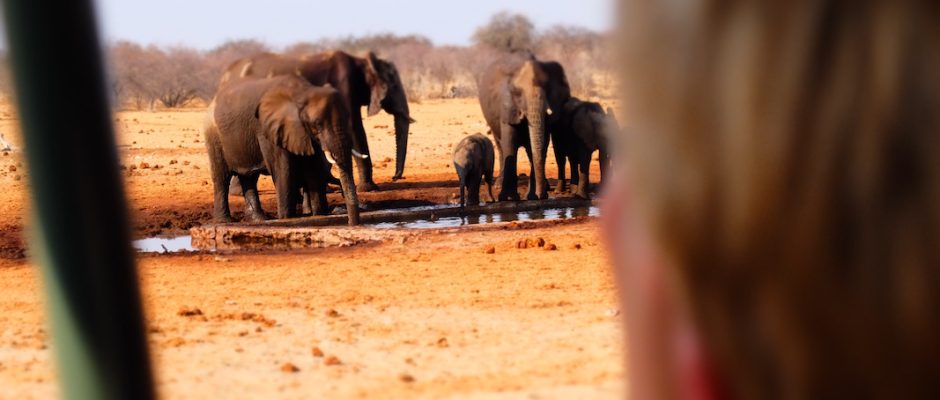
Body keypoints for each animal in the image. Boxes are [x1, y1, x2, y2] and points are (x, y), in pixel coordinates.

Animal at [203, 75, 361, 225]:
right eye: (317, 124)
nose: (351, 223)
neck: (303, 92)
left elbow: (313, 167)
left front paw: (319, 214)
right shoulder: (268, 129)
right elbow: (283, 168)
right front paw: (287, 218)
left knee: (249, 178)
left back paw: (258, 220)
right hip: (213, 136)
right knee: (221, 178)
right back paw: (225, 221)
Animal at [220, 50, 414, 191]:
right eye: (394, 85)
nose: (395, 177)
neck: (362, 62)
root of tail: (225, 75)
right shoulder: (344, 86)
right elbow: (354, 128)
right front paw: (369, 189)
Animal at [478, 52, 571, 201]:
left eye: (548, 89)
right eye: (517, 93)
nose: (542, 196)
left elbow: (542, 144)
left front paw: (533, 197)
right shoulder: (506, 106)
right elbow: (509, 142)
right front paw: (509, 198)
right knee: (500, 145)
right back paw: (498, 184)